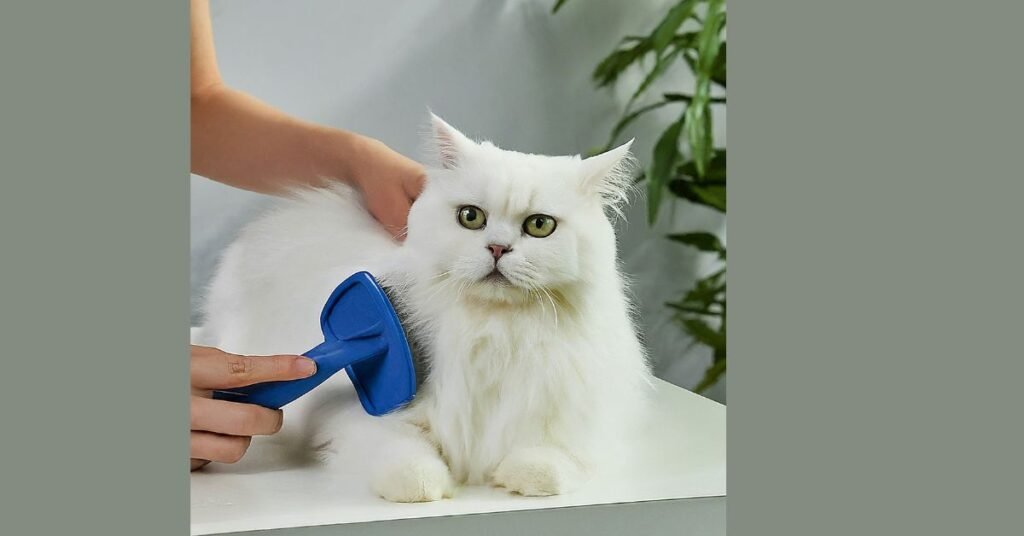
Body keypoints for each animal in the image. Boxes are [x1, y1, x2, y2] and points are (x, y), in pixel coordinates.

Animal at [195, 115, 651, 502]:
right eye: (471, 217)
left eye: (540, 226)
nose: (497, 248)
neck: (492, 330)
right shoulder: (356, 416)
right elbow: (408, 462)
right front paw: (432, 487)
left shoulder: (582, 418)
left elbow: (551, 462)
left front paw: (516, 475)